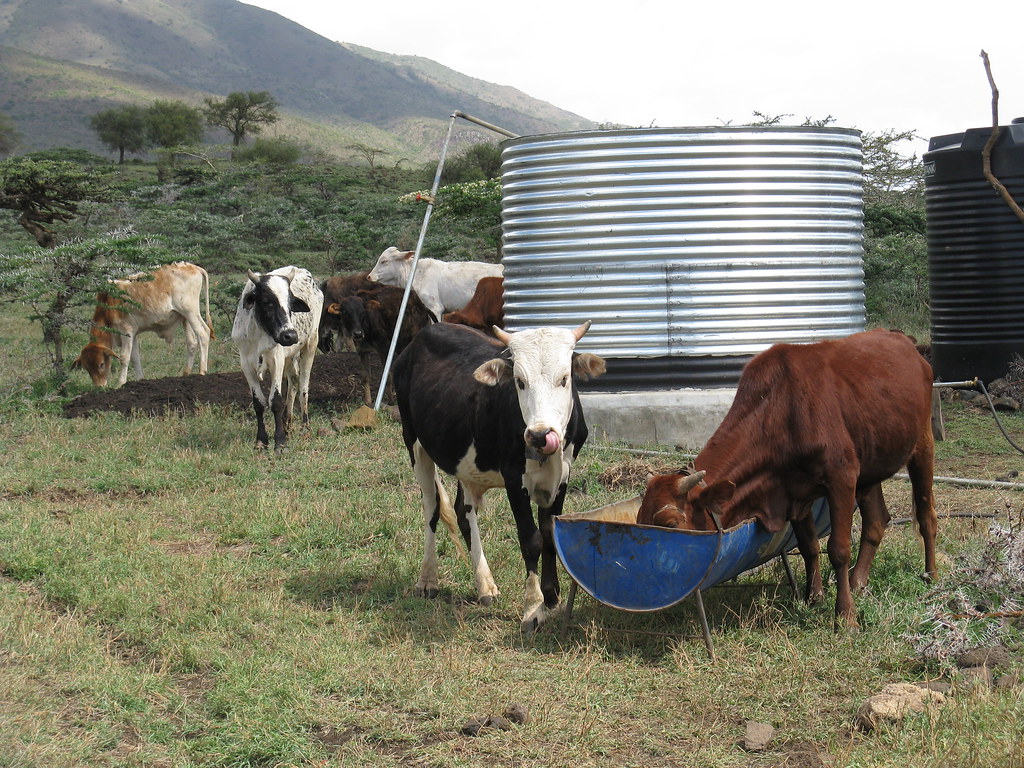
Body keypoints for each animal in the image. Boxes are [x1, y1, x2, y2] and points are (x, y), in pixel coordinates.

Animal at [72, 261, 214, 387]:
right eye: (87, 368)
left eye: (101, 364)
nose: (99, 386)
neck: (108, 306)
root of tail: (192, 266)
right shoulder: (133, 334)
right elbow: (135, 358)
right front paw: (140, 380)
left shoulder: (126, 331)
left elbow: (124, 358)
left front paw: (120, 383)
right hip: (185, 318)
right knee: (192, 343)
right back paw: (186, 373)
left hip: (190, 312)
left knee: (203, 334)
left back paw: (202, 371)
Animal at [231, 266, 323, 452]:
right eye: (267, 301)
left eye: (290, 304)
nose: (290, 335)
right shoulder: (246, 363)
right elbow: (259, 403)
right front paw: (261, 441)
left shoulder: (277, 360)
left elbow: (276, 401)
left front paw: (280, 442)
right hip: (290, 356)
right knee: (293, 381)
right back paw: (287, 424)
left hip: (311, 343)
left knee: (303, 387)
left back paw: (305, 427)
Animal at [393, 321, 606, 632]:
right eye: (519, 381)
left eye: (564, 378)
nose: (540, 435)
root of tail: (424, 333)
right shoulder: (514, 478)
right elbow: (531, 539)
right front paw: (533, 609)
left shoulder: (563, 475)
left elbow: (549, 532)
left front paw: (551, 597)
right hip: (414, 443)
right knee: (432, 509)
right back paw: (428, 580)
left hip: (466, 463)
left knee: (463, 511)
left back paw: (485, 586)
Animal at [636, 328, 938, 629]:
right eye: (639, 520)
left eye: (671, 524)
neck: (780, 410)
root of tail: (901, 338)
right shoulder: (794, 492)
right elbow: (809, 546)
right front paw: (813, 597)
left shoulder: (841, 477)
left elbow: (838, 549)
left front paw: (845, 615)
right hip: (871, 463)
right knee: (876, 521)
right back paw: (858, 583)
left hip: (922, 444)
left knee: (926, 515)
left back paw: (931, 576)